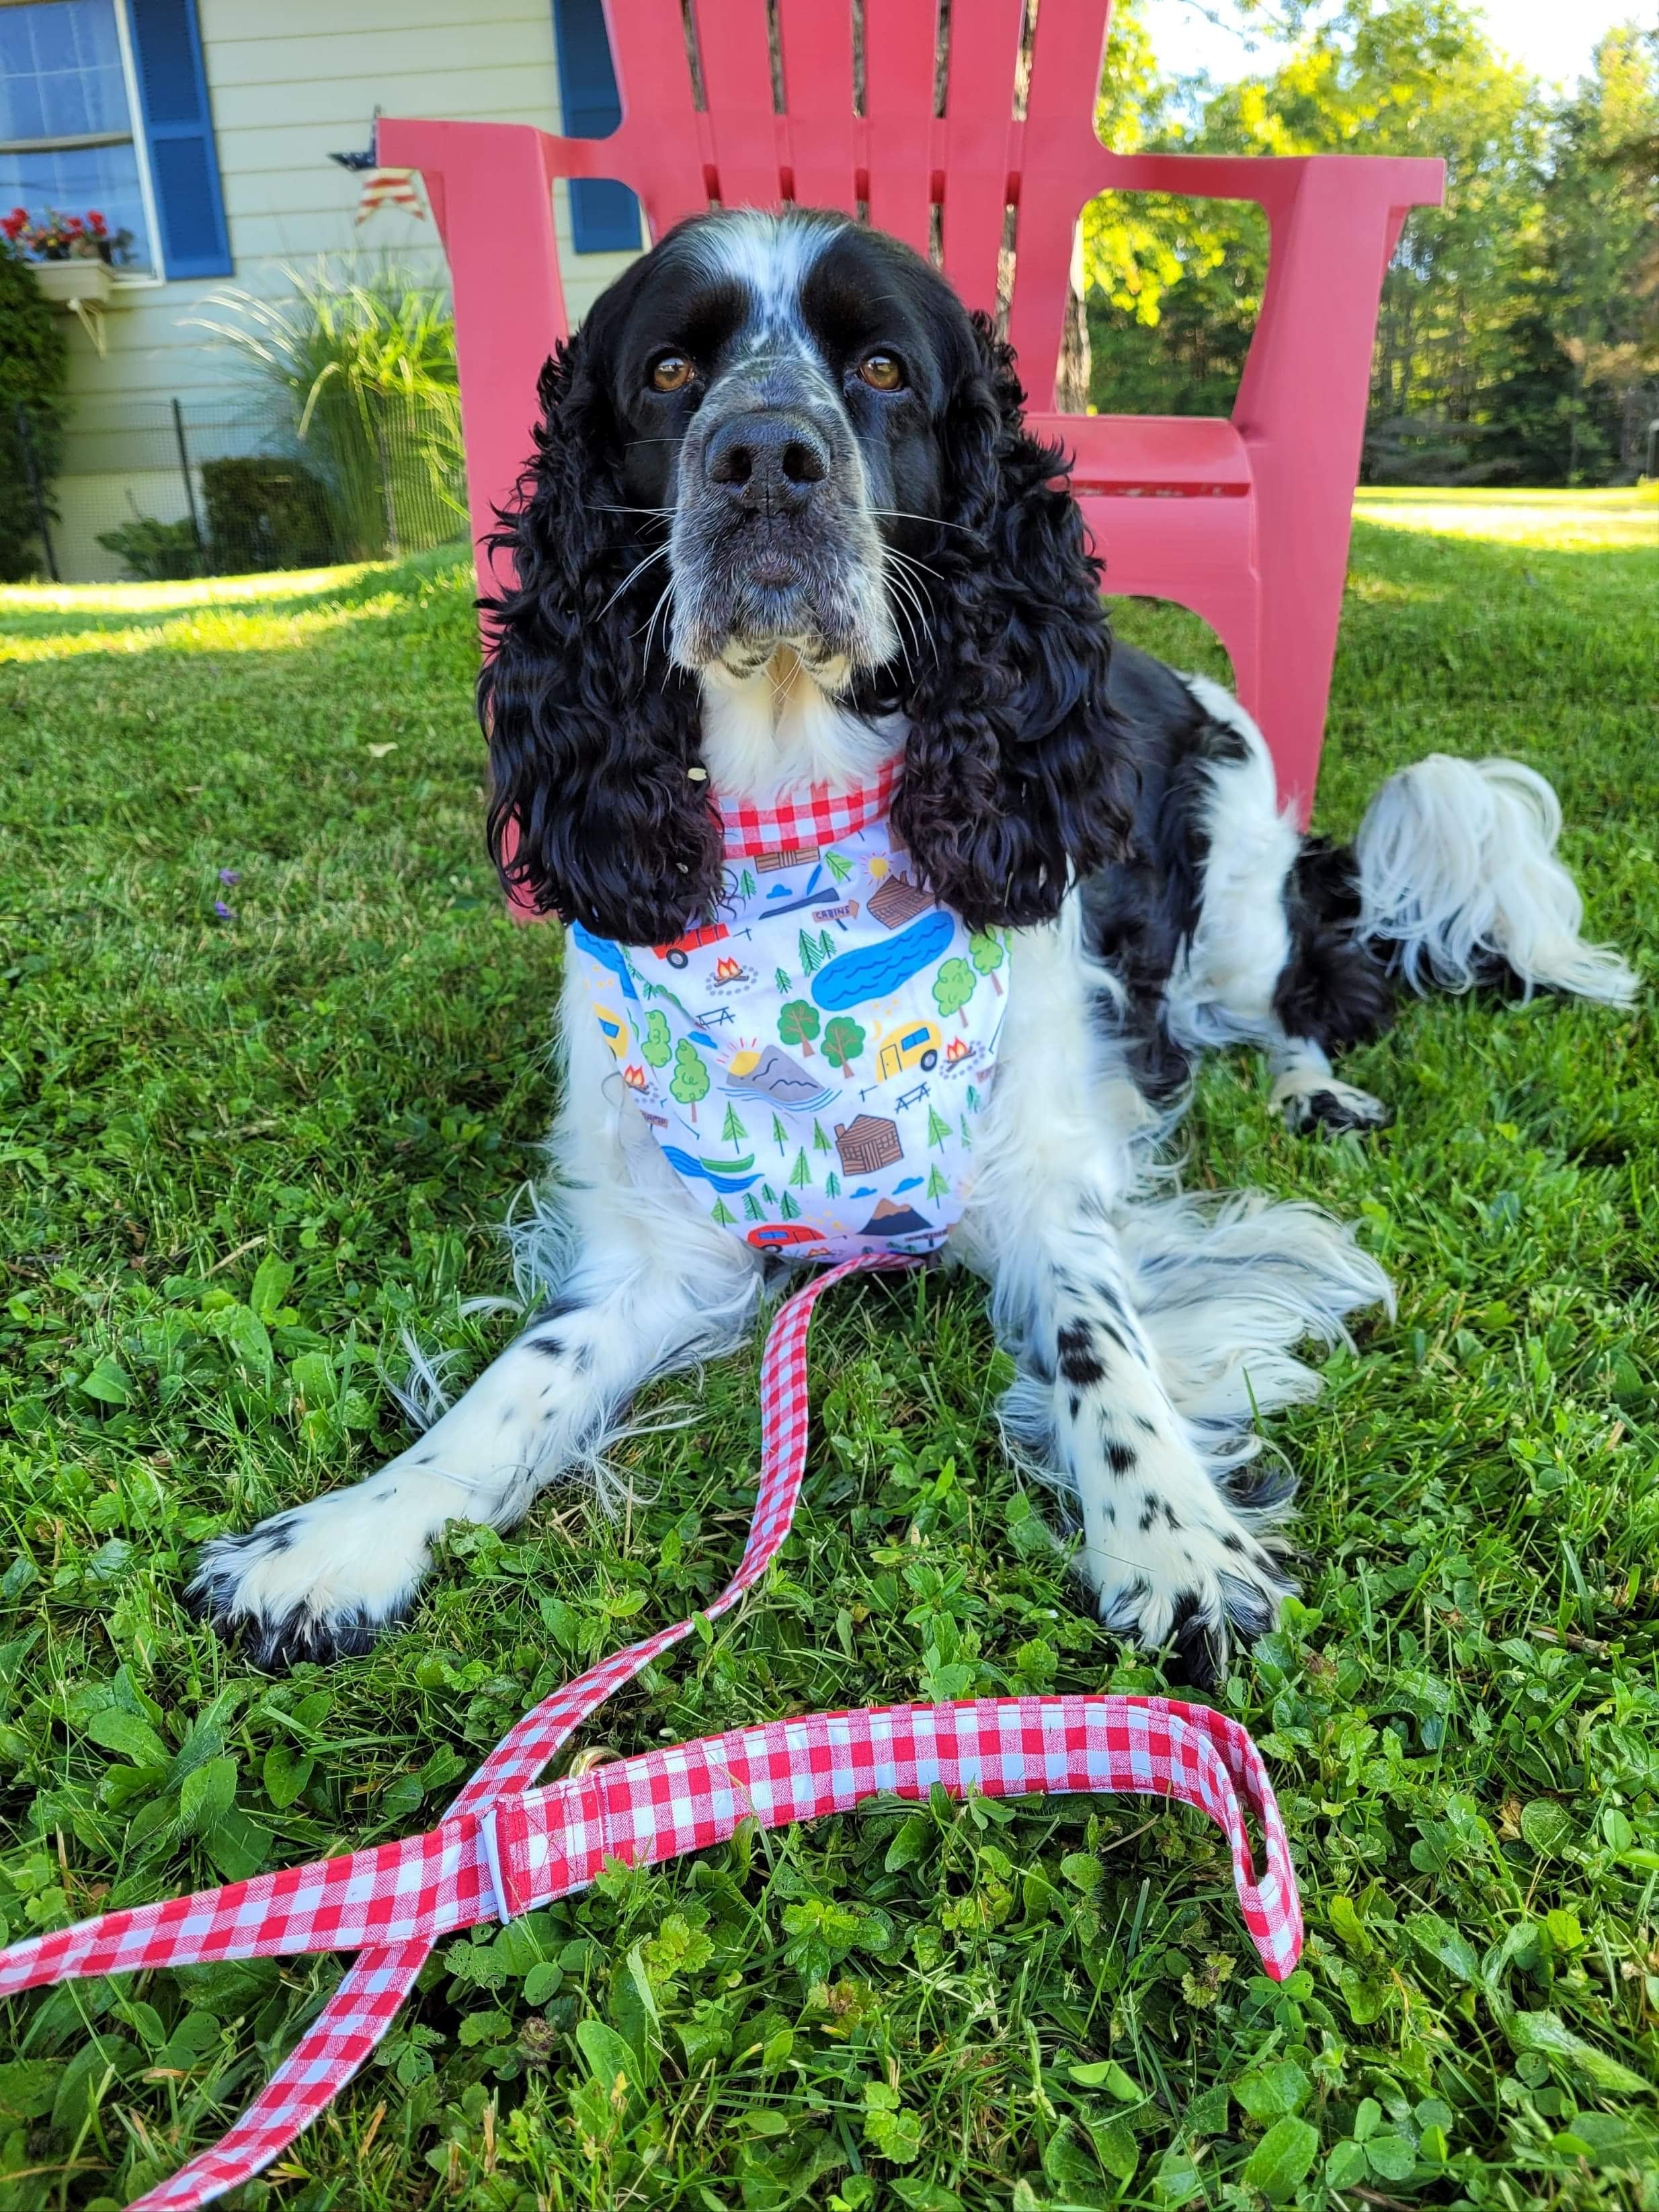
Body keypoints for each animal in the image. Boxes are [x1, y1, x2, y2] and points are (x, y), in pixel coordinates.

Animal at [191, 215, 1637, 1681]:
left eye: (882, 366)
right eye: (667, 372)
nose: (764, 455)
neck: (796, 820)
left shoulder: (1049, 1176)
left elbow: (1101, 1340)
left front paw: (1173, 1537)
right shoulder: (660, 1246)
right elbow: (521, 1381)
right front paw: (350, 1532)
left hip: (1232, 904)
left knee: (1292, 992)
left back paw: (1312, 1089)